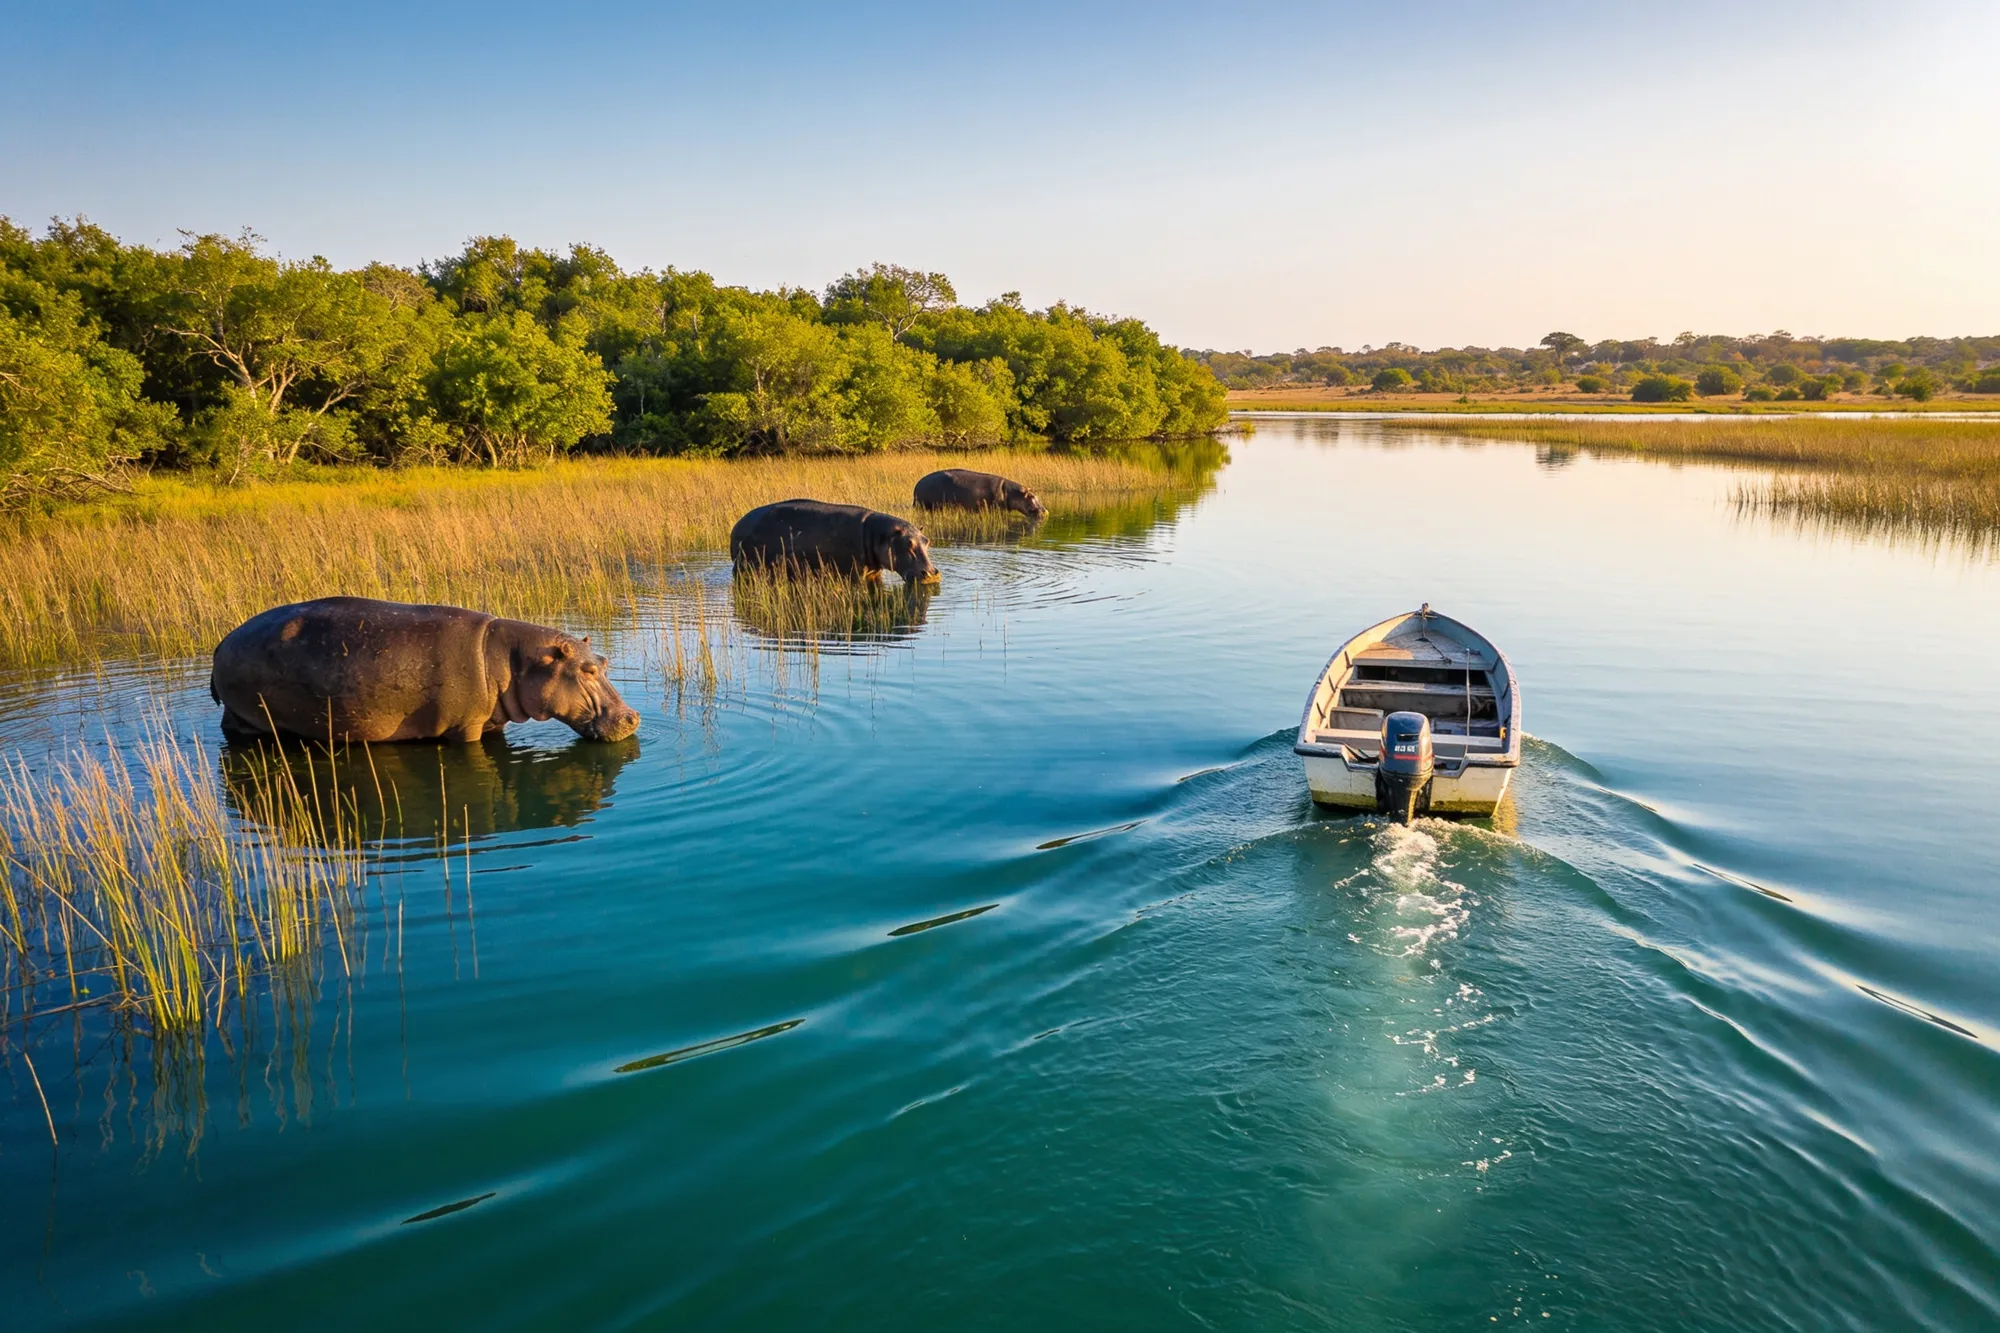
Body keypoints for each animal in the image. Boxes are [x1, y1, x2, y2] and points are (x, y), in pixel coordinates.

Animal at [210, 597, 640, 744]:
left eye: (604, 662)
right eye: (586, 670)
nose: (632, 717)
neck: (514, 660)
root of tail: (221, 644)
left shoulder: (490, 722)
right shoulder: (465, 728)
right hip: (248, 715)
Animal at [730, 500, 939, 584]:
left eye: (926, 541)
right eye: (908, 543)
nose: (931, 573)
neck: (878, 534)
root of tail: (737, 526)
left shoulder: (872, 573)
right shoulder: (855, 574)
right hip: (745, 566)